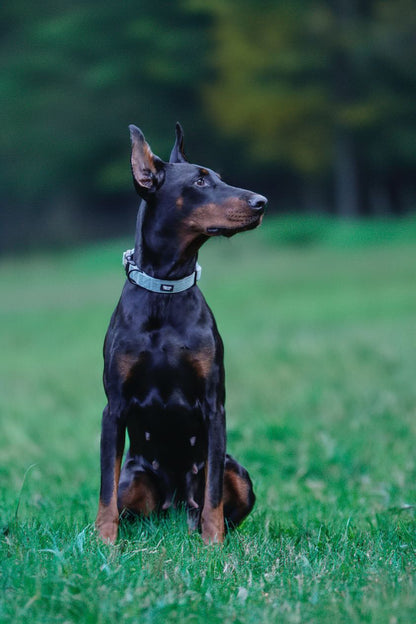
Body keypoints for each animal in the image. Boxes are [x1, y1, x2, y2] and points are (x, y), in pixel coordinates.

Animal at [95, 122, 266, 540]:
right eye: (200, 181)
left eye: (219, 176)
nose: (262, 202)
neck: (165, 291)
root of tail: (175, 505)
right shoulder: (114, 407)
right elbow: (105, 490)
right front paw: (104, 543)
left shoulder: (214, 405)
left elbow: (214, 494)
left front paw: (213, 544)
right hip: (134, 479)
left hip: (236, 474)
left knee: (211, 499)